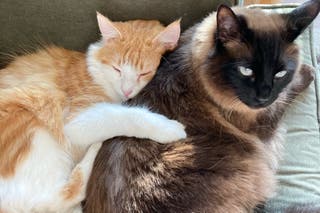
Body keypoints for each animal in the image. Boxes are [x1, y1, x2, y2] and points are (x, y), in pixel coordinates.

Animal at [0, 12, 185, 213]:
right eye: (117, 69)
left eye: (144, 73)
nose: (127, 91)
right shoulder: (75, 122)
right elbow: (122, 115)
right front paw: (168, 128)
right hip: (33, 121)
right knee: (58, 196)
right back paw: (95, 149)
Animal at [84, 0, 318, 212]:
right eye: (246, 71)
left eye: (280, 73)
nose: (263, 97)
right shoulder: (262, 122)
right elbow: (288, 93)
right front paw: (309, 71)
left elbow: (284, 92)